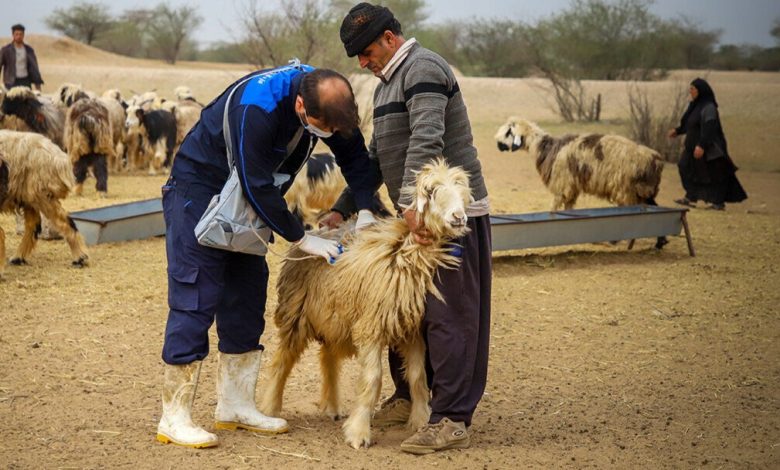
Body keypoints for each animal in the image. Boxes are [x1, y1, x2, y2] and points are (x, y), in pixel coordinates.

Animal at [0, 129, 89, 280]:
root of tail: (59, 157)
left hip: (41, 195)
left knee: (64, 221)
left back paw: (80, 258)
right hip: (28, 197)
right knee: (33, 225)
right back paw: (18, 258)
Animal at [260, 158, 470, 448]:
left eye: (463, 188)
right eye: (430, 191)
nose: (459, 217)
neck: (401, 253)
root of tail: (320, 229)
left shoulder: (411, 330)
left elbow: (418, 378)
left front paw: (420, 421)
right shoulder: (370, 327)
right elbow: (373, 380)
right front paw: (359, 432)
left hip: (334, 315)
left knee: (328, 357)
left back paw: (332, 406)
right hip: (296, 314)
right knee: (283, 360)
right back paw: (270, 408)